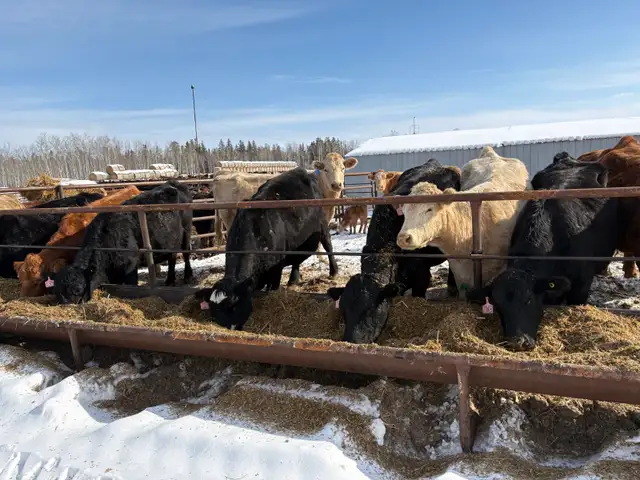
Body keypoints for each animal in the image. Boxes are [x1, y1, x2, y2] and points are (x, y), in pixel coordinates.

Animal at [50, 181, 193, 304]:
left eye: (78, 289)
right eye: (57, 292)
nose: (68, 305)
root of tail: (173, 184)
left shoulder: (131, 263)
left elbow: (131, 285)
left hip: (187, 230)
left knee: (185, 254)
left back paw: (186, 277)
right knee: (172, 257)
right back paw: (170, 280)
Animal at [196, 167, 338, 331]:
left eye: (233, 306)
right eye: (215, 310)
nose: (230, 327)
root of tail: (300, 171)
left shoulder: (275, 269)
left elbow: (272, 288)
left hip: (322, 224)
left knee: (328, 245)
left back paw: (333, 272)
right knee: (296, 259)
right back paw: (293, 280)